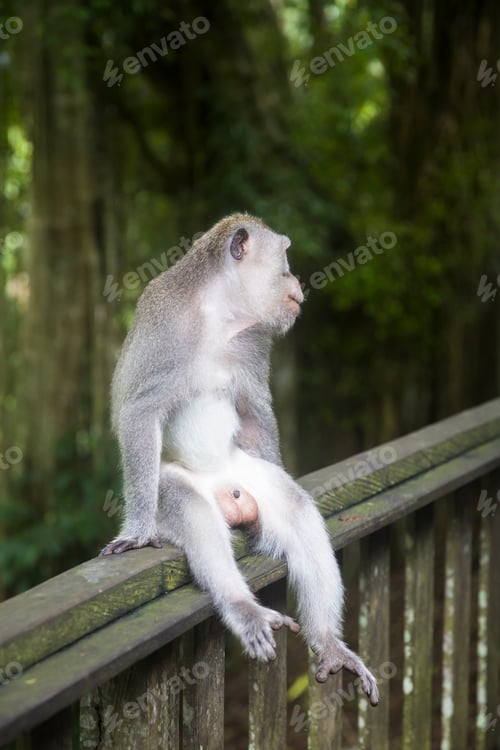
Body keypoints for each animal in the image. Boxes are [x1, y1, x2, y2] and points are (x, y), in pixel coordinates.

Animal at [101, 213, 379, 705]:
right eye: (285, 255)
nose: (296, 279)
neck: (219, 314)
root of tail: (223, 485)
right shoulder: (165, 324)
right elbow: (140, 412)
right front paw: (136, 532)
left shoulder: (254, 340)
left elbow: (254, 411)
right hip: (177, 484)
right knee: (191, 510)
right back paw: (242, 607)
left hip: (246, 473)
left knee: (297, 510)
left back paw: (328, 641)